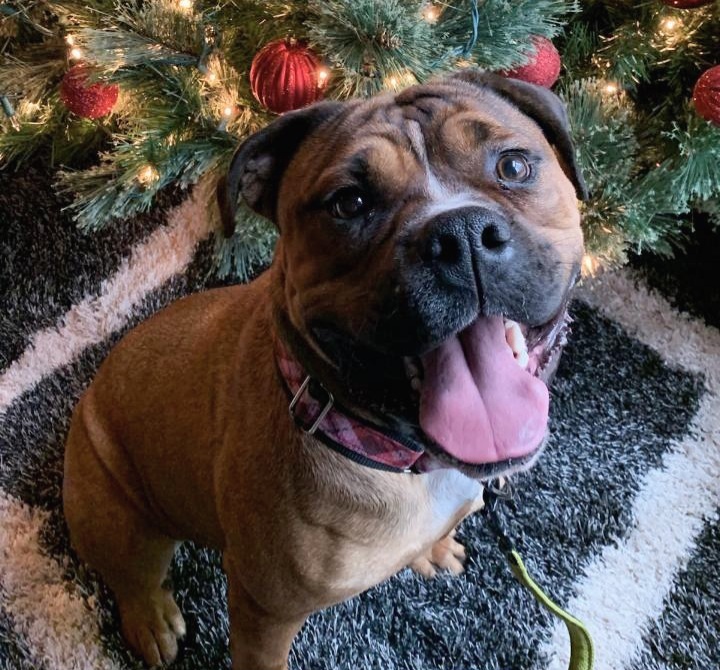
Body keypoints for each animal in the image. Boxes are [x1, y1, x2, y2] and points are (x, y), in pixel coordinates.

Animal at [64, 71, 588, 668]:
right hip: (120, 518)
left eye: (513, 167)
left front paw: (432, 549)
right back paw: (150, 621)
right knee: (134, 576)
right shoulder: (264, 611)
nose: (460, 234)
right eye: (349, 203)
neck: (402, 457)